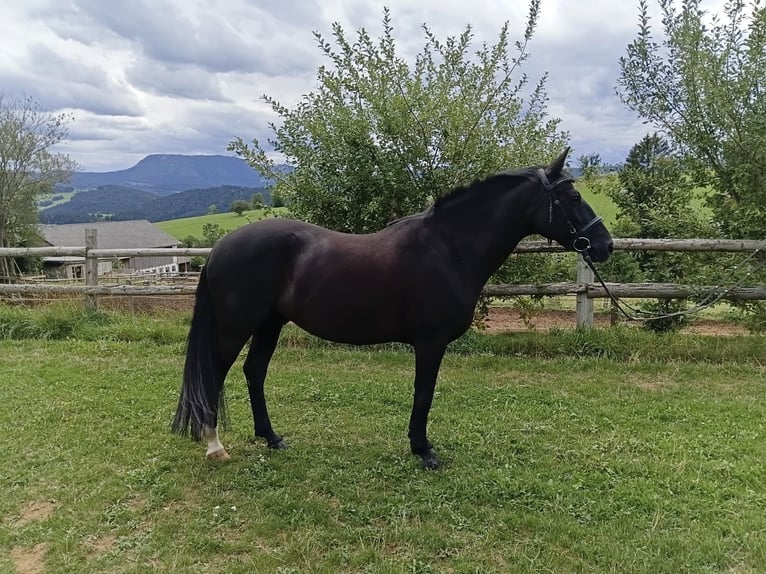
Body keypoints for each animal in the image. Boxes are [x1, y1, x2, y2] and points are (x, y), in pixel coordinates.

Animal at [171, 148, 613, 469]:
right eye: (574, 197)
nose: (605, 245)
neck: (447, 248)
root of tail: (219, 249)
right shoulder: (430, 342)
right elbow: (424, 393)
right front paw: (423, 450)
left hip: (270, 323)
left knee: (254, 372)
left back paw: (272, 437)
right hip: (236, 327)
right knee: (215, 374)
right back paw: (214, 446)